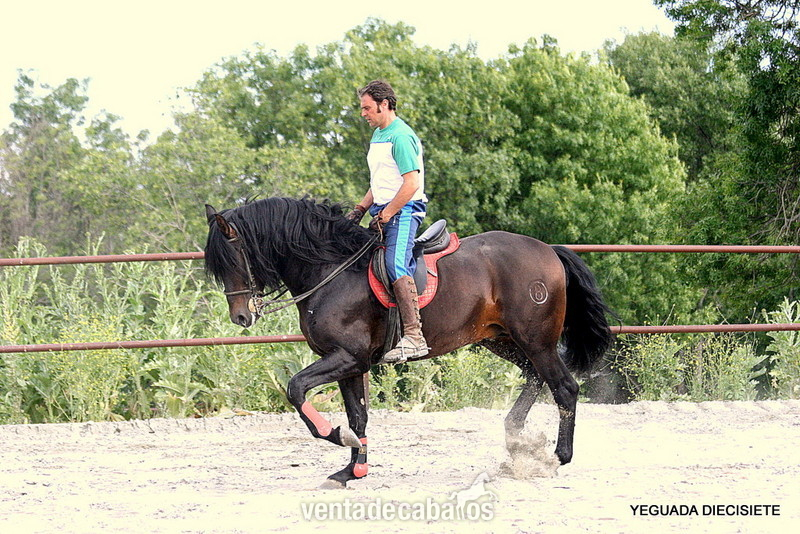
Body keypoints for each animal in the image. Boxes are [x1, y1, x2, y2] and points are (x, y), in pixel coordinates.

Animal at [204, 197, 612, 488]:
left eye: (232, 260)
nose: (240, 317)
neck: (331, 270)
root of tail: (547, 250)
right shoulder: (351, 364)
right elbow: (358, 415)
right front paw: (353, 469)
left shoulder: (346, 357)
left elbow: (296, 389)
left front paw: (336, 436)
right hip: (501, 339)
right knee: (535, 376)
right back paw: (516, 440)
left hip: (535, 338)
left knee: (564, 387)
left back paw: (557, 456)